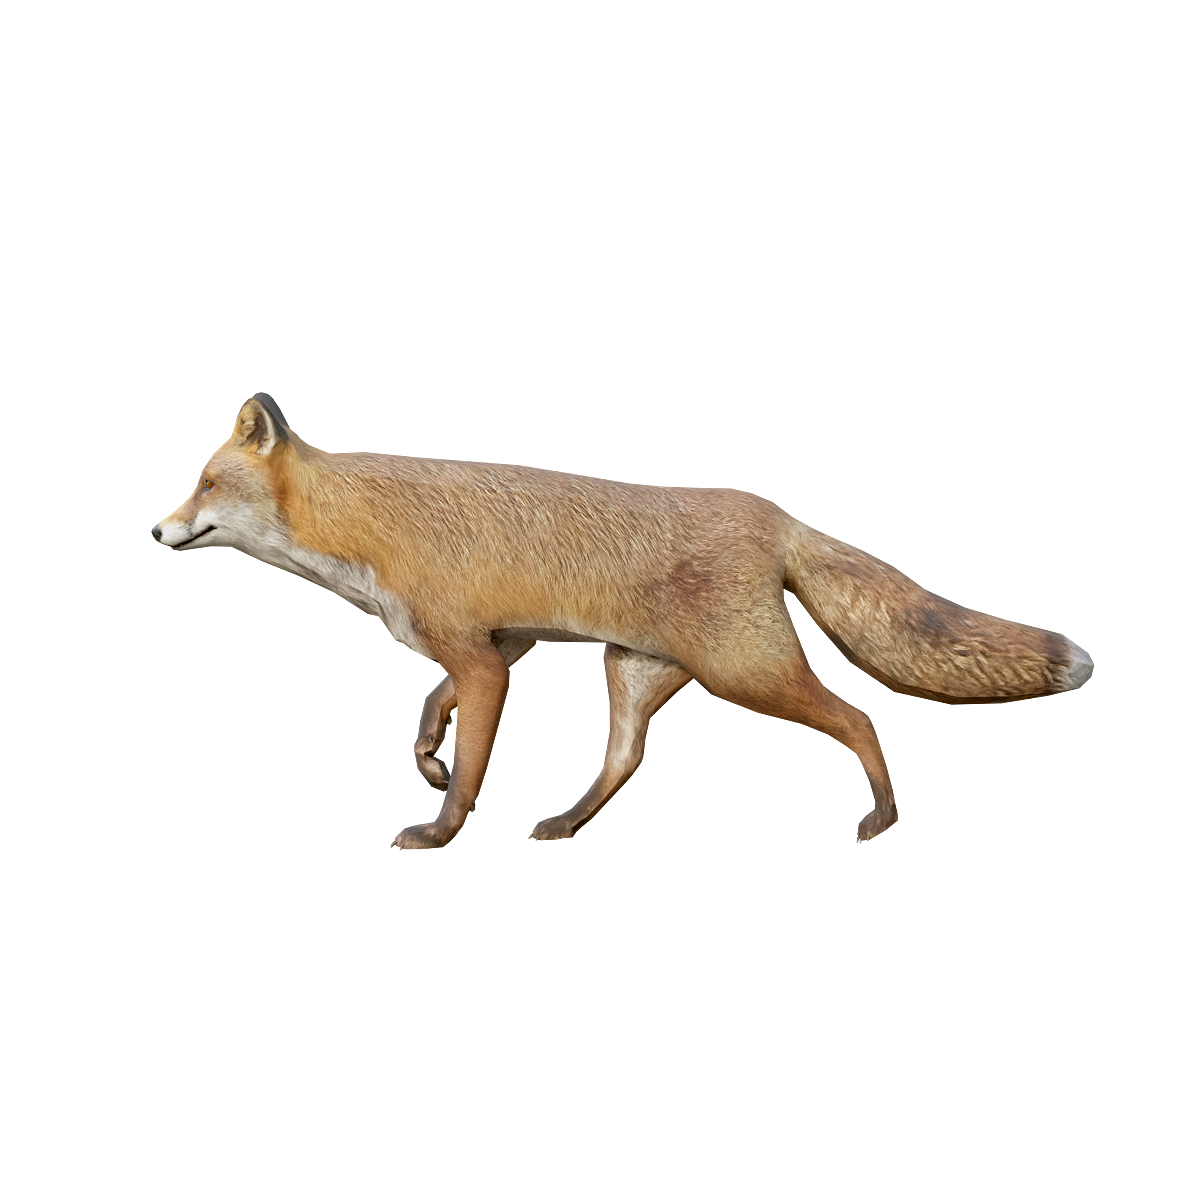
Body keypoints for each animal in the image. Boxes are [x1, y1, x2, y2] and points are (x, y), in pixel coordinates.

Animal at [153, 394, 1094, 850]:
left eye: (202, 483)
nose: (158, 533)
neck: (359, 529)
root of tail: (774, 515)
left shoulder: (482, 656)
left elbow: (470, 764)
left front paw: (444, 829)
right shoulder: (494, 643)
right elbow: (437, 708)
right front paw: (424, 749)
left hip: (748, 675)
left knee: (858, 717)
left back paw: (884, 816)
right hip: (637, 674)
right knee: (624, 762)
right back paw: (563, 828)